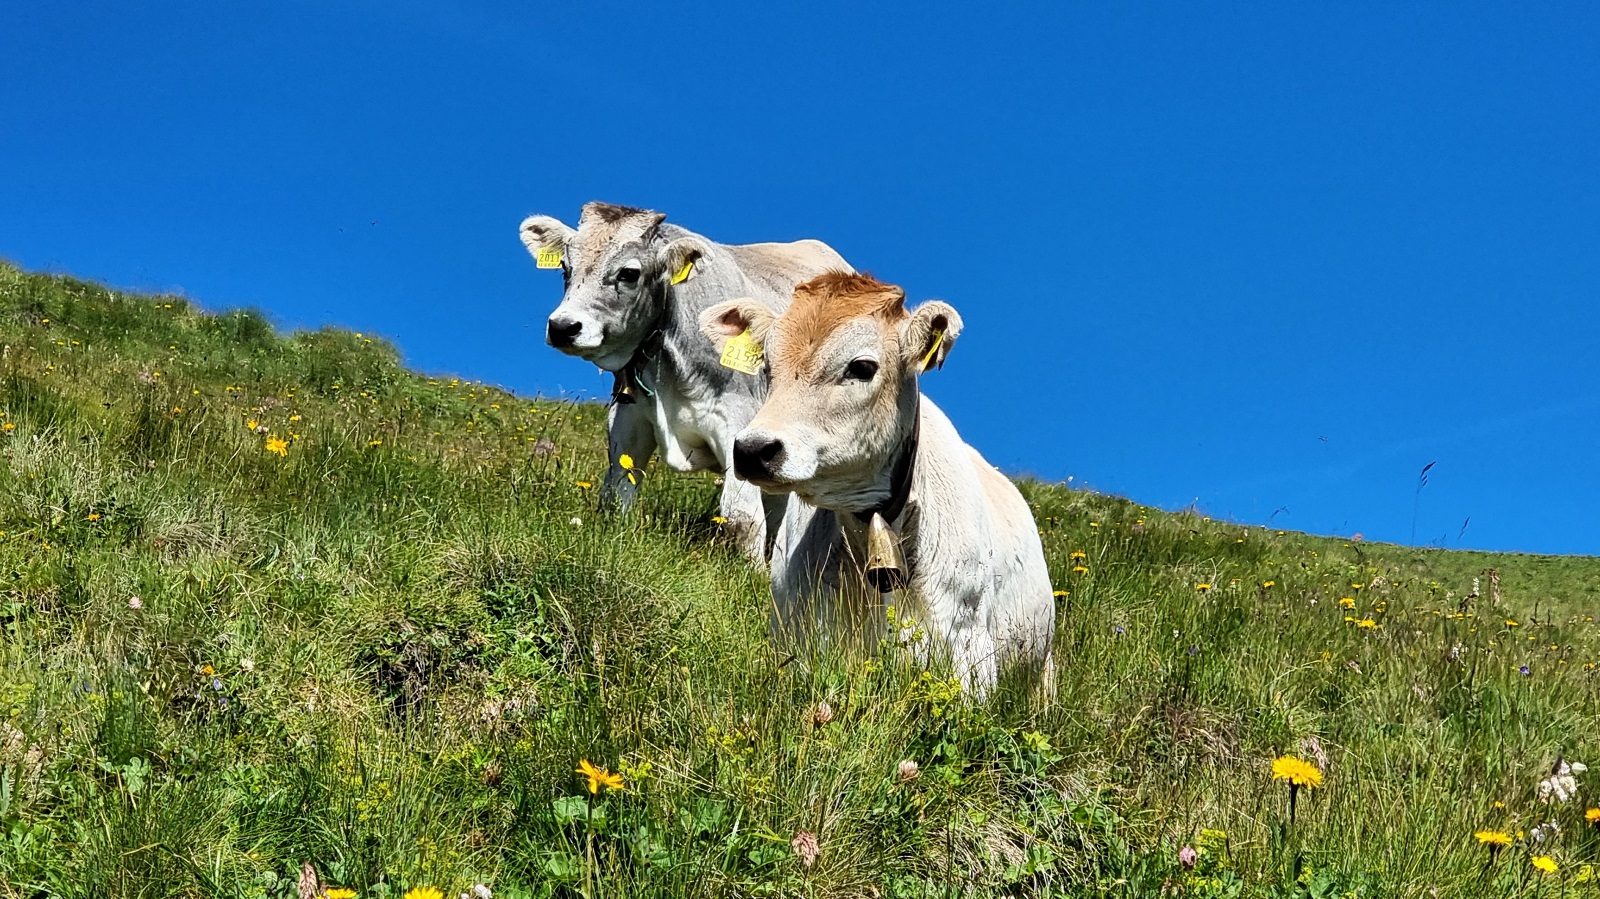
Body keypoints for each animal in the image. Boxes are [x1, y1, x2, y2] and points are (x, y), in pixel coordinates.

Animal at [519, 202, 852, 560]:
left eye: (629, 273)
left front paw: (752, 570)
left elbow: (741, 518)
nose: (563, 327)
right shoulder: (627, 415)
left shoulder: (738, 421)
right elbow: (617, 493)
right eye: (564, 267)